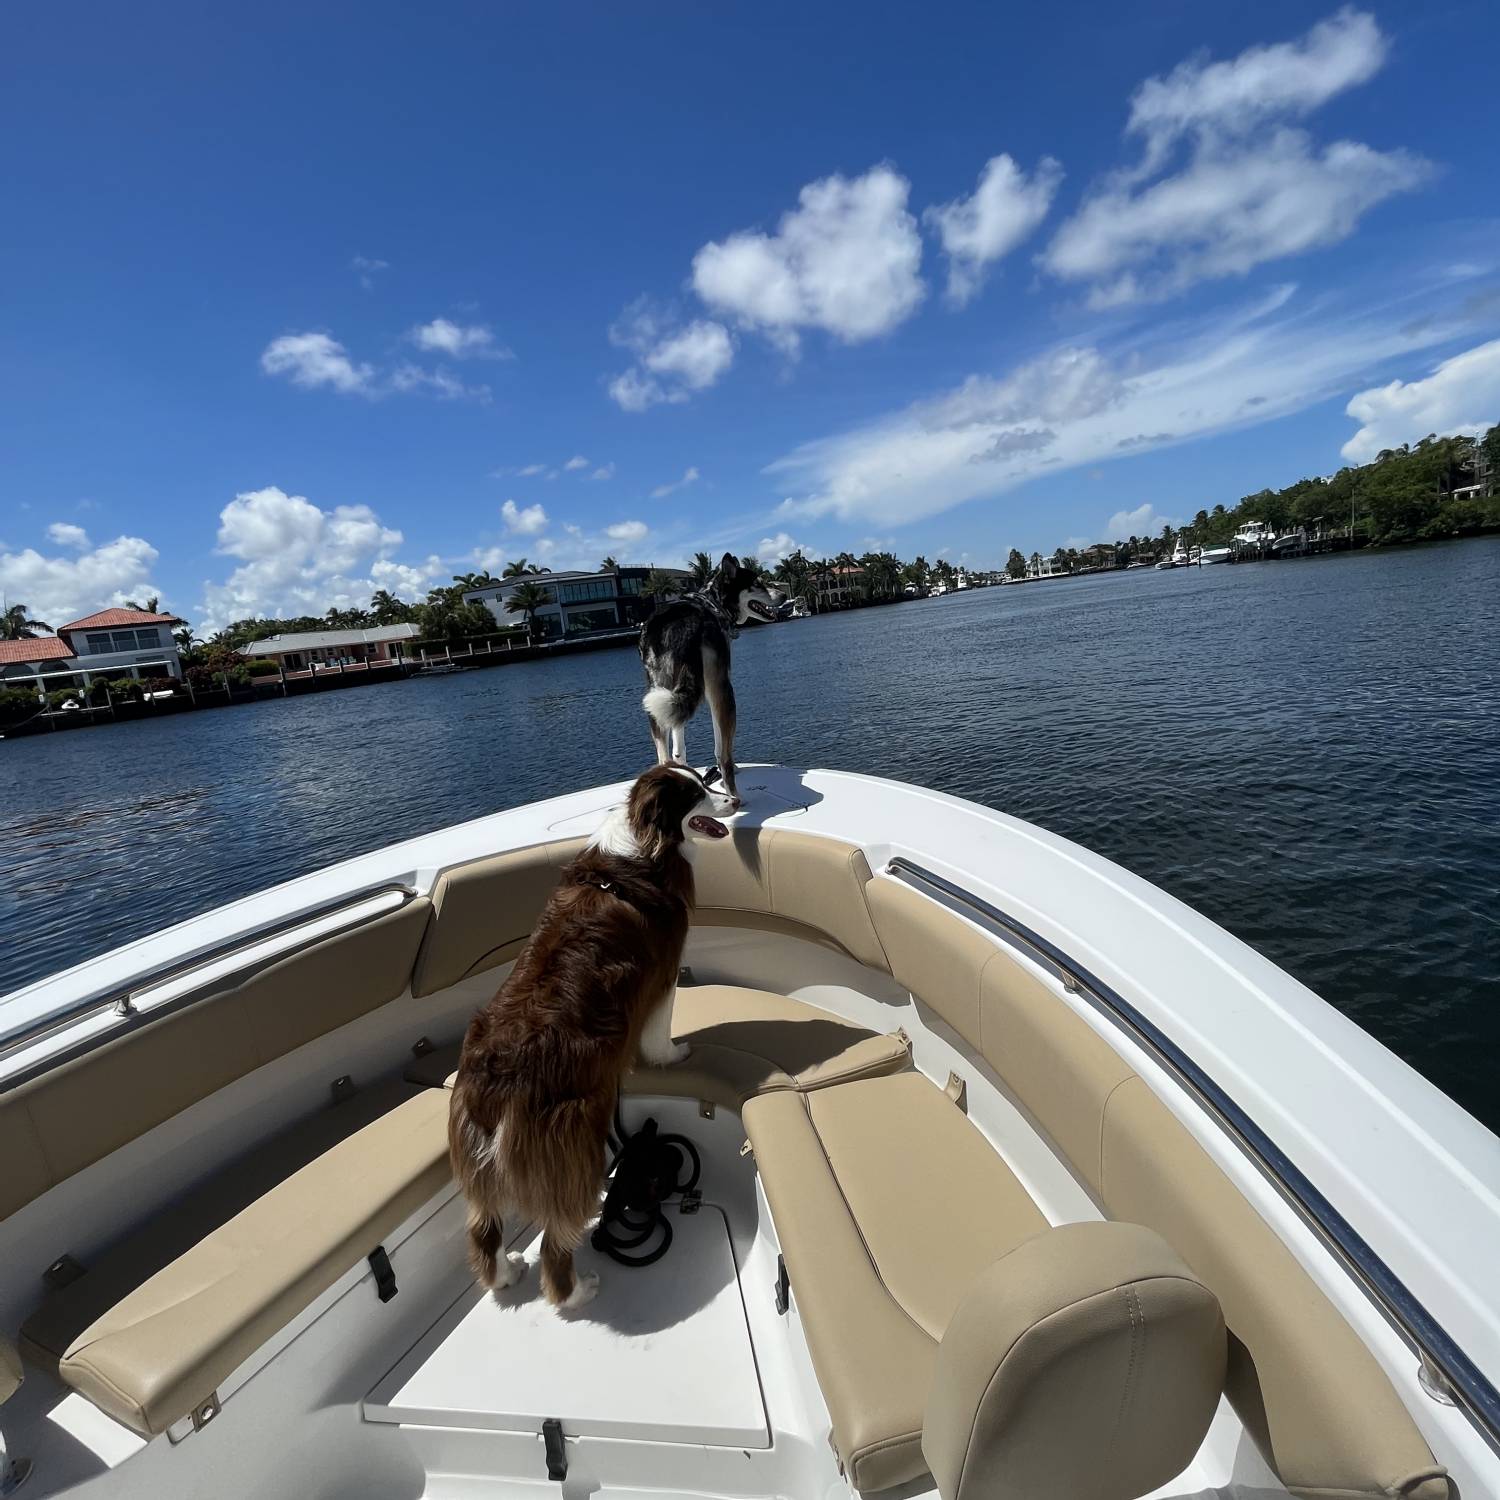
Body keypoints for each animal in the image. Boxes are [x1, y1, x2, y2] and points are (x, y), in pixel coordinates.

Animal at [444, 768, 738, 1308]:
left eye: (703, 778)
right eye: (697, 793)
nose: (735, 797)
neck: (644, 846)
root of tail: (496, 1084)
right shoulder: (662, 974)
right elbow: (660, 1029)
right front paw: (672, 1055)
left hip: (477, 1166)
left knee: (483, 1230)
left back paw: (505, 1274)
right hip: (575, 1147)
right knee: (557, 1242)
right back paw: (577, 1292)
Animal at [636, 555, 774, 810]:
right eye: (757, 583)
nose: (782, 595)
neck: (712, 602)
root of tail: (680, 625)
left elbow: (679, 747)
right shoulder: (716, 688)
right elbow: (721, 745)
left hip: (656, 696)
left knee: (664, 753)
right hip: (724, 692)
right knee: (725, 756)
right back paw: (736, 795)